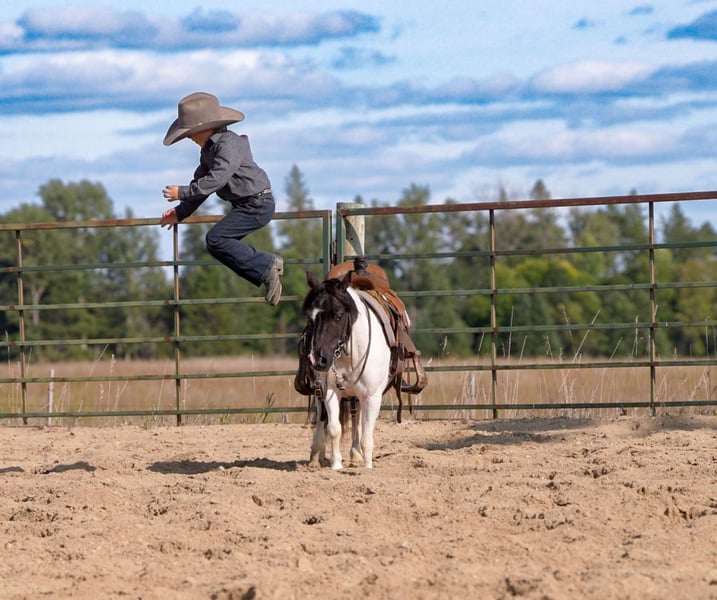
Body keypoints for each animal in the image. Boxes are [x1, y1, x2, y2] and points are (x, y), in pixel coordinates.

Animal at [299, 270, 393, 469]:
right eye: (310, 317)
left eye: (339, 315)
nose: (318, 359)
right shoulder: (329, 391)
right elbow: (334, 428)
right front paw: (336, 464)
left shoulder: (372, 397)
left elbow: (366, 436)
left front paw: (367, 466)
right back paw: (316, 455)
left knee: (357, 420)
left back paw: (356, 455)